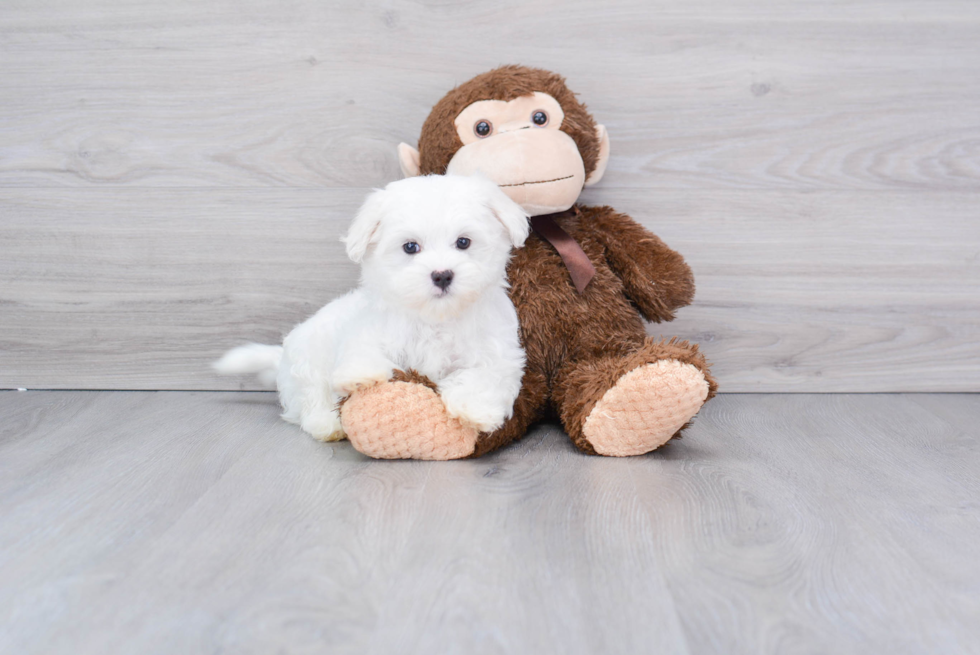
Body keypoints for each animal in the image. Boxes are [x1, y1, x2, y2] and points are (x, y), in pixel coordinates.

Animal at [213, 173, 528, 440]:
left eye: (463, 242)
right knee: (311, 398)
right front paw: (361, 376)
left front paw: (475, 411)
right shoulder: (368, 329)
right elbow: (362, 350)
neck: (434, 317)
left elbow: (485, 377)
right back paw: (326, 423)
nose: (441, 275)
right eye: (410, 247)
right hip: (307, 362)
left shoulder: (499, 353)